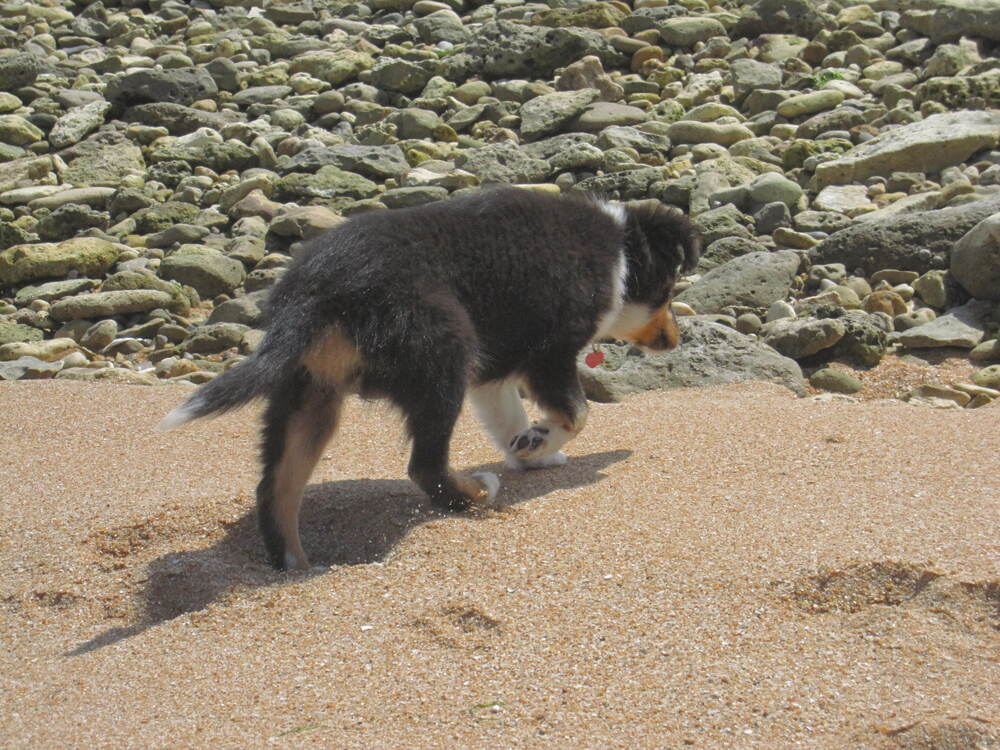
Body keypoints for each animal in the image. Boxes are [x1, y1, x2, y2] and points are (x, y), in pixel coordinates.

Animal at [158, 187, 704, 568]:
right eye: (667, 291)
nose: (675, 340)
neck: (619, 256)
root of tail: (315, 291)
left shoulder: (495, 371)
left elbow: (509, 419)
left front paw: (532, 452)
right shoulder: (548, 352)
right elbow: (577, 413)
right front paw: (542, 441)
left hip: (308, 392)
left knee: (276, 488)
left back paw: (296, 565)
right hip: (444, 355)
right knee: (424, 465)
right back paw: (474, 495)